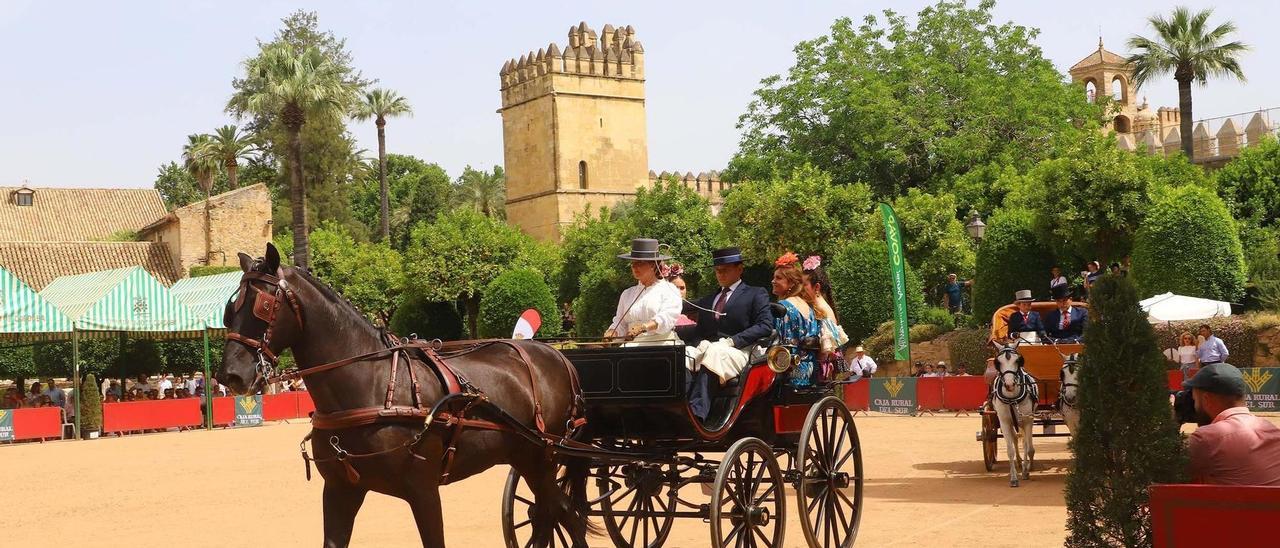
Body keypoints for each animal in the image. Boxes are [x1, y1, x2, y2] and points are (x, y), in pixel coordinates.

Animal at [217, 244, 591, 548]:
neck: (374, 385)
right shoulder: (341, 491)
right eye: (230, 309)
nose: (230, 375)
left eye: (264, 305)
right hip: (526, 459)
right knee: (551, 515)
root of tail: (556, 356)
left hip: (542, 459)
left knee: (565, 514)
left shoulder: (423, 491)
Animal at [988, 345, 1039, 486]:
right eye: (998, 362)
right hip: (1011, 423)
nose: (1009, 385)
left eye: (1018, 361)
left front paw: (1026, 471)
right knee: (1015, 439)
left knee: (1024, 441)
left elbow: (1028, 446)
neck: (1012, 398)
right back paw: (1019, 462)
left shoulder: (1027, 420)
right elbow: (1010, 450)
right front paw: (1014, 478)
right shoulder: (1005, 422)